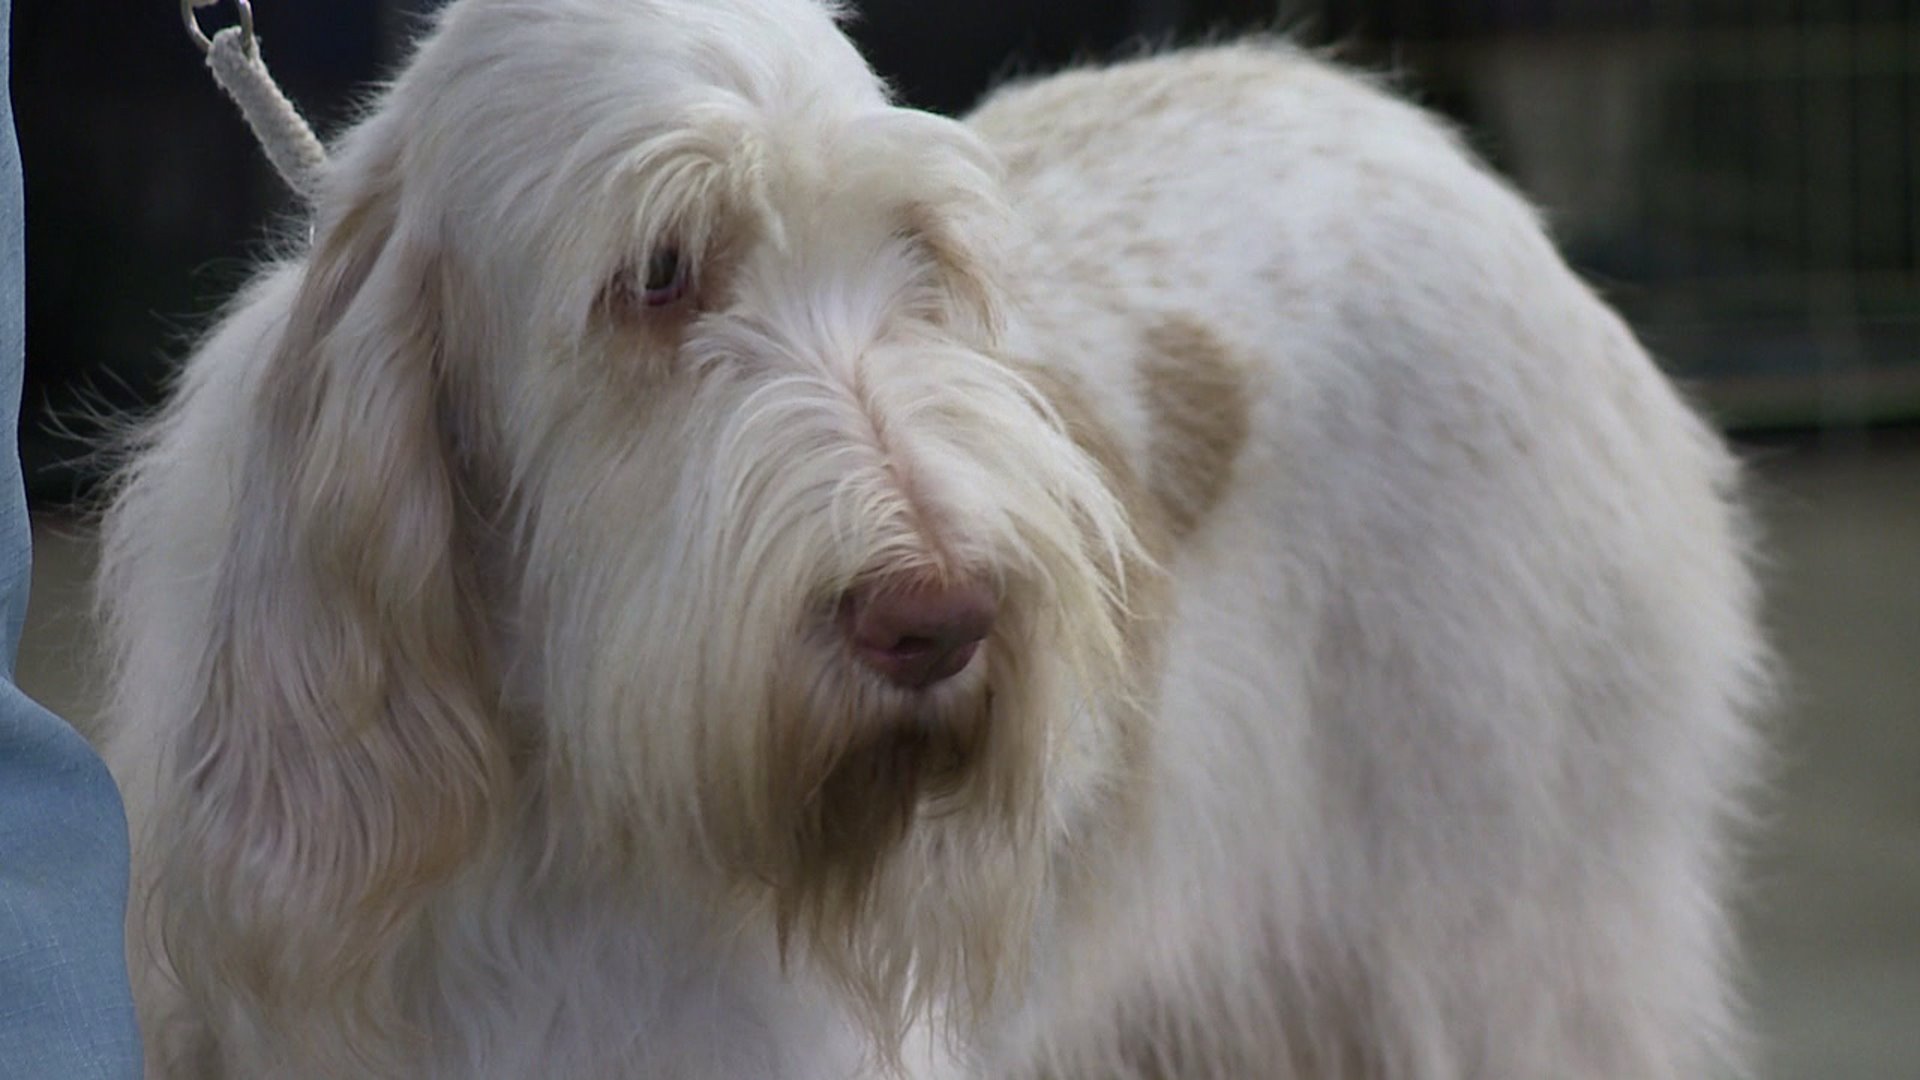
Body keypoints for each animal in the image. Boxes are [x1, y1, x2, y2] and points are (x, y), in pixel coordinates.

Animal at [93, 2, 1766, 1076]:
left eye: (921, 256)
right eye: (659, 272)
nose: (940, 619)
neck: (560, 813)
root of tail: (1428, 146)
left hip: (1519, 950)